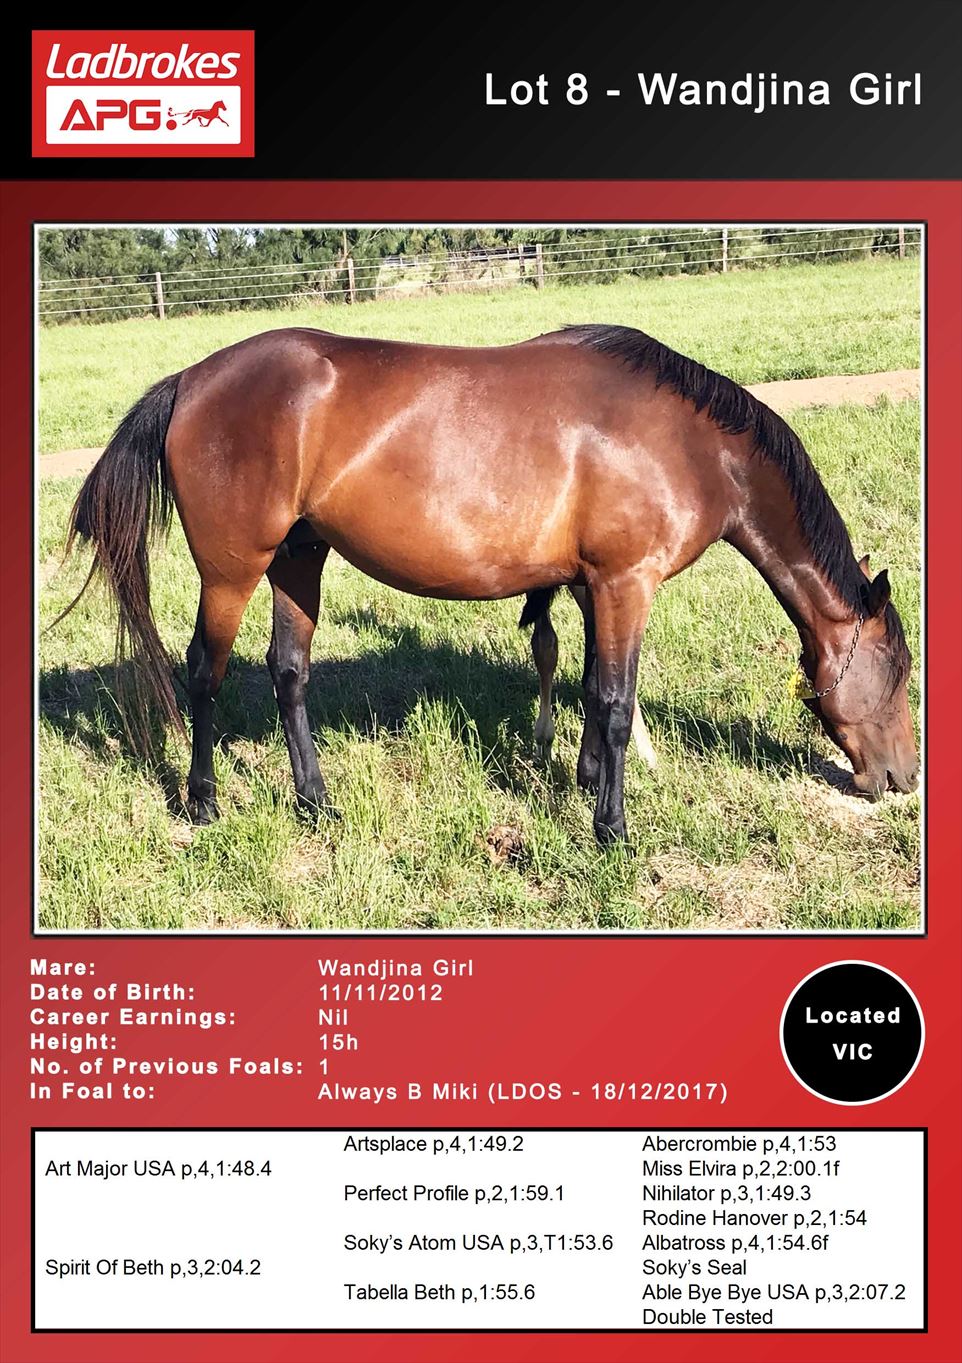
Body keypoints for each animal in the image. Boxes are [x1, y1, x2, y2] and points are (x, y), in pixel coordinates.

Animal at [60, 324, 918, 845]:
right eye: (901, 670)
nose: (903, 778)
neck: (693, 443)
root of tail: (191, 380)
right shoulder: (625, 583)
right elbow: (616, 704)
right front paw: (612, 828)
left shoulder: (591, 584)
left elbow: (587, 685)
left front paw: (581, 780)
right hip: (233, 569)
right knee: (203, 672)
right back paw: (204, 800)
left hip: (299, 560)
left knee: (288, 673)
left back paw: (315, 801)